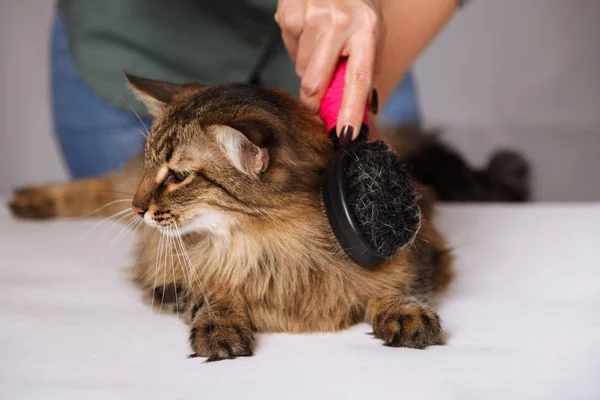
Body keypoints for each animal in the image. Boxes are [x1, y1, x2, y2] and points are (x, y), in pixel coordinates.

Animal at [7, 76, 528, 360]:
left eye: (178, 176)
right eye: (156, 167)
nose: (140, 206)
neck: (270, 244)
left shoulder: (420, 252)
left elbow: (395, 287)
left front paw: (402, 311)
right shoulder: (178, 271)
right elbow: (213, 294)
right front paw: (219, 323)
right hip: (119, 195)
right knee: (96, 188)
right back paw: (29, 200)